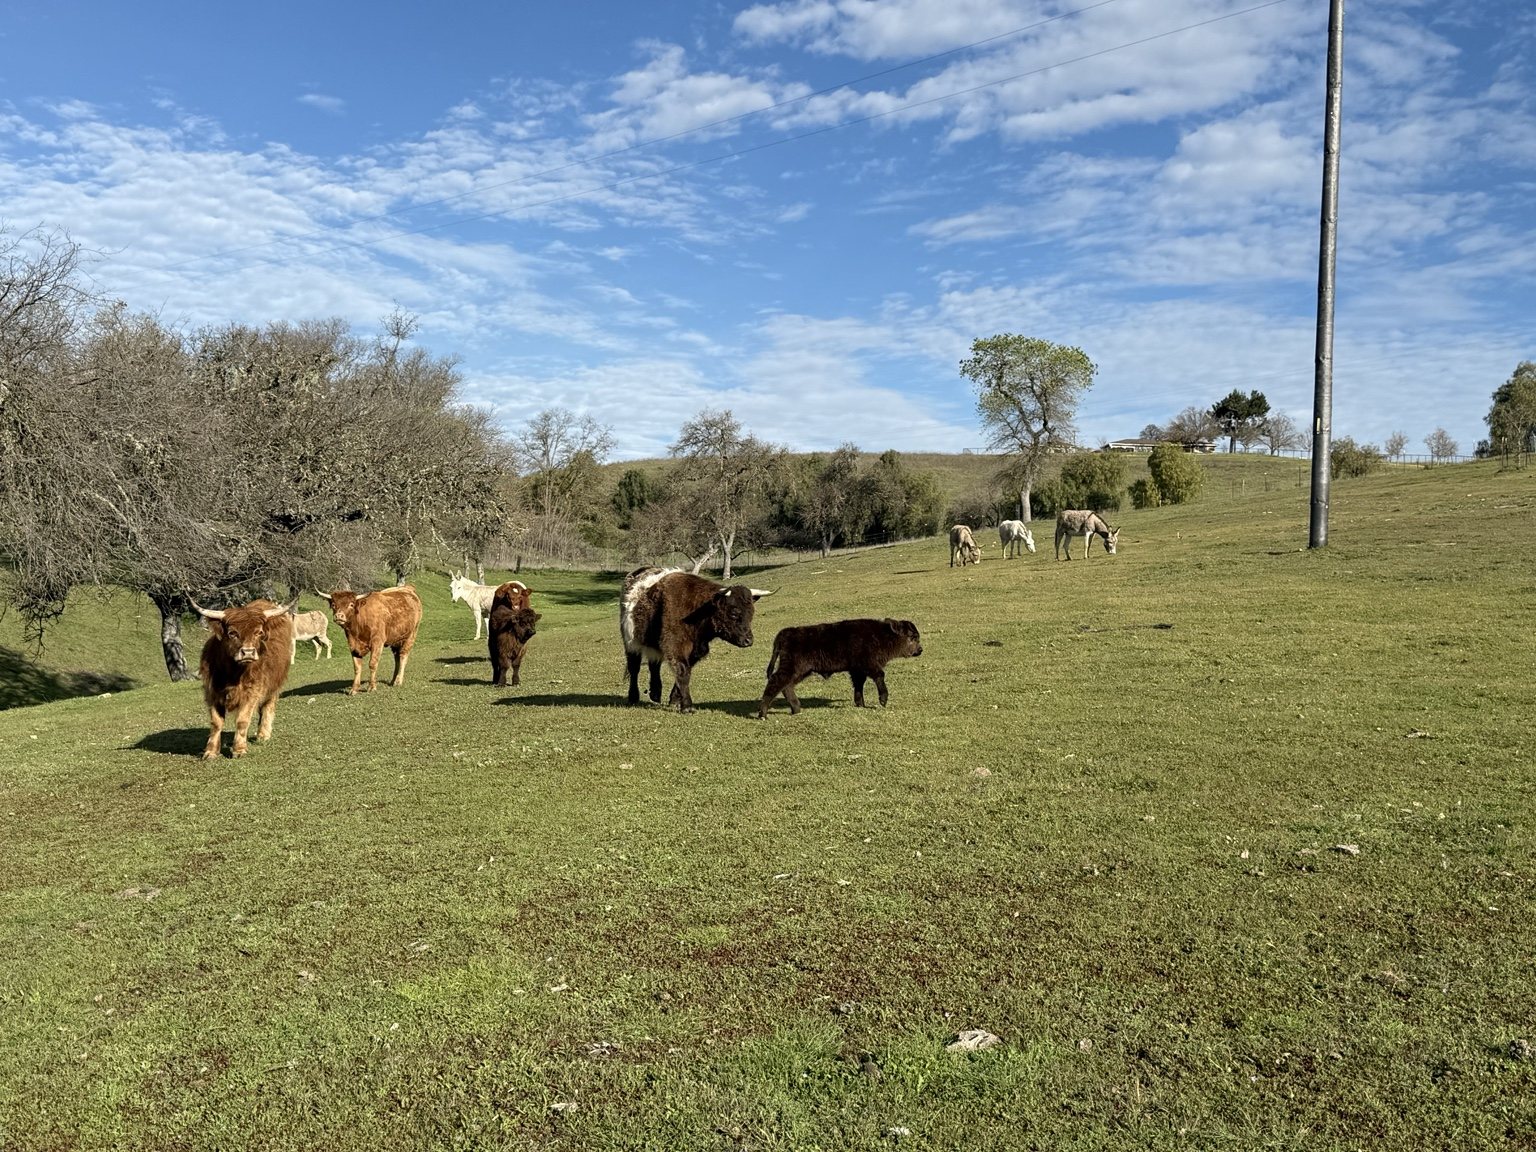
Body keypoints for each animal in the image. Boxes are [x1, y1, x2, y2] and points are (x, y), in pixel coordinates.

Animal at [191, 596, 299, 759]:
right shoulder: (212, 692)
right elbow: (216, 722)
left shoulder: (252, 691)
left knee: (268, 706)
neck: (233, 674)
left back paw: (263, 734)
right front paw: (210, 751)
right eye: (232, 633)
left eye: (259, 632)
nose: (248, 652)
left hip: (274, 684)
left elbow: (242, 720)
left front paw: (239, 749)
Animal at [620, 566, 771, 713]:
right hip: (630, 643)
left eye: (751, 613)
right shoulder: (675, 645)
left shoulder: (696, 651)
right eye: (734, 613)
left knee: (654, 665)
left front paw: (675, 700)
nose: (748, 641)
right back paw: (633, 696)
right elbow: (683, 671)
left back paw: (655, 693)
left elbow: (685, 672)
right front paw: (687, 705)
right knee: (634, 668)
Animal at [758, 618, 923, 718]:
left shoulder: (857, 670)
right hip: (793, 668)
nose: (920, 650)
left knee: (786, 685)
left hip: (801, 671)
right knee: (776, 681)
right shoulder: (869, 665)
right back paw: (763, 714)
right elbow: (879, 676)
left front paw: (860, 704)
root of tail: (784, 633)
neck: (881, 635)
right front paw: (883, 700)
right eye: (912, 637)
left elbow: (859, 685)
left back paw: (796, 709)